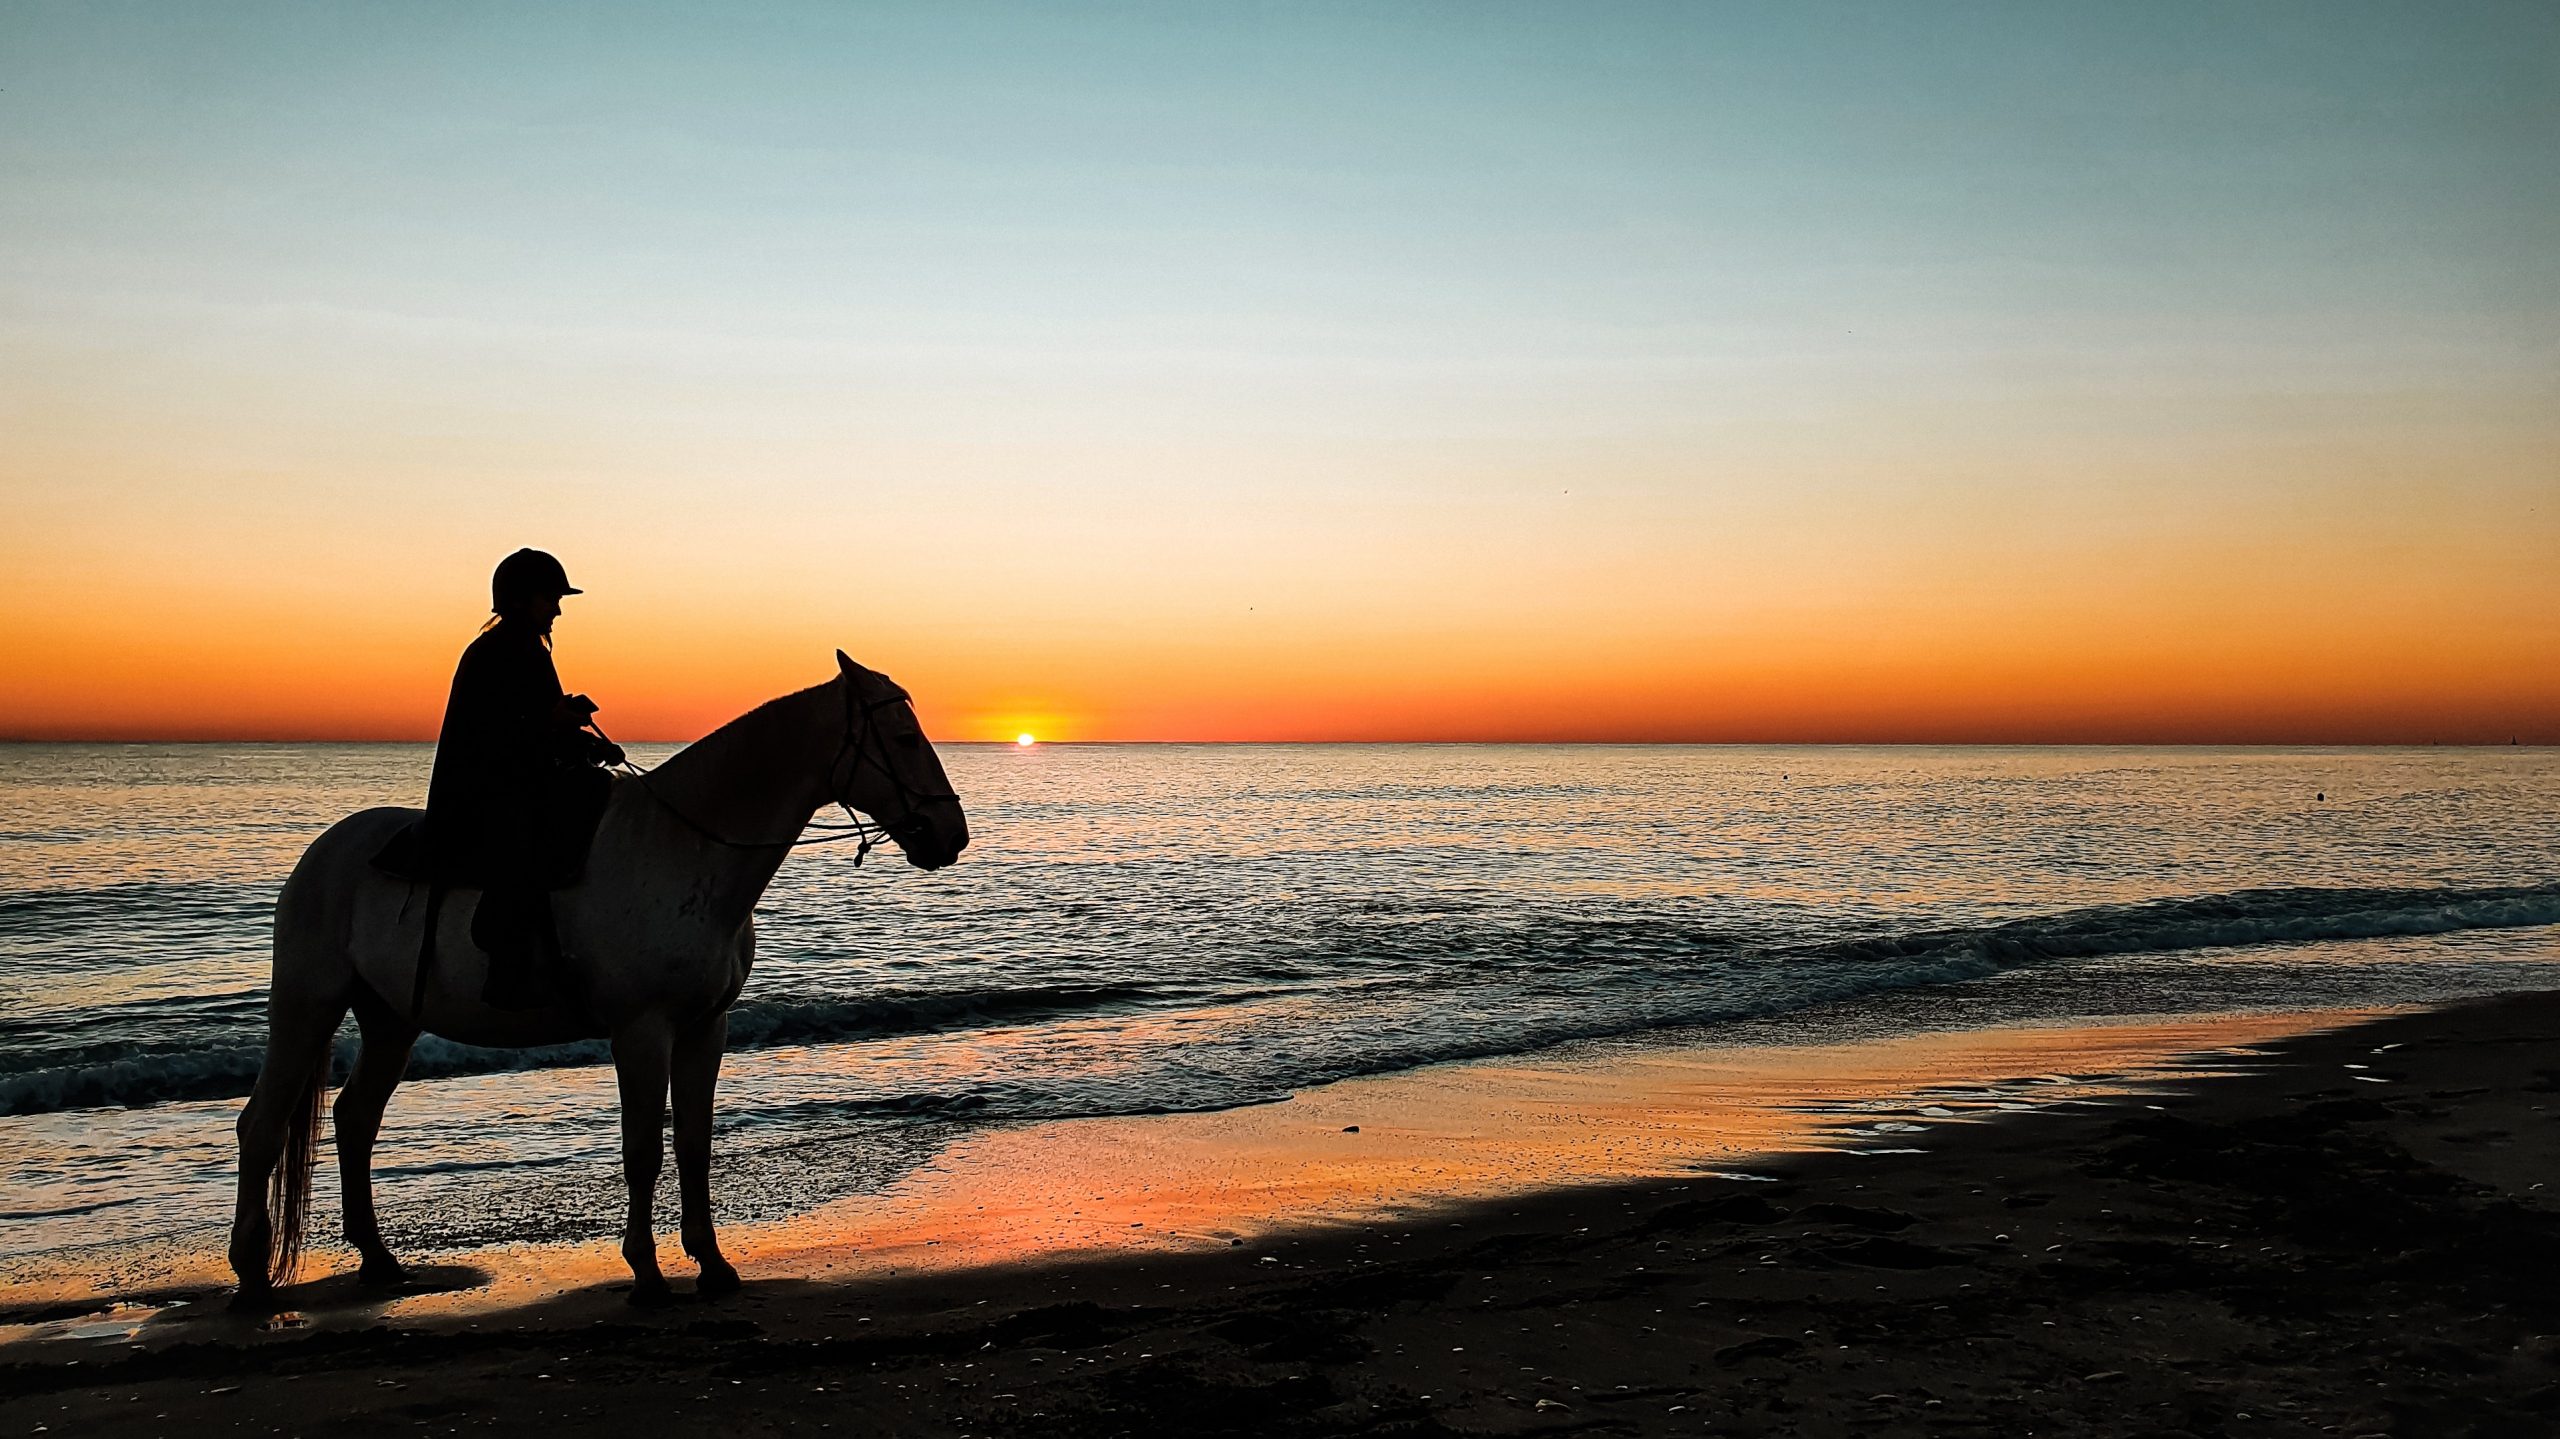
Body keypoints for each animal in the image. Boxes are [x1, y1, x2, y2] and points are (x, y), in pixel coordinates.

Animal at [228, 651, 968, 1305]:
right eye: (904, 736)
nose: (949, 832)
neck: (685, 848)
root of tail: (323, 852)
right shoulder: (641, 1030)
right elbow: (643, 1147)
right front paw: (646, 1271)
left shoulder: (706, 1026)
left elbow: (694, 1142)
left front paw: (712, 1262)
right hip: (306, 1004)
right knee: (261, 1123)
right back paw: (251, 1271)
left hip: (390, 1019)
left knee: (356, 1119)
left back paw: (380, 1260)